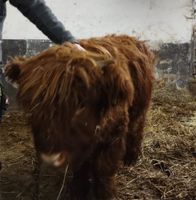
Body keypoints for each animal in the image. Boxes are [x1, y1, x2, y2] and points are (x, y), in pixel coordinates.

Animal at [4, 35, 155, 199]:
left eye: (81, 104)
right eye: (32, 106)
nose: (51, 158)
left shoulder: (113, 137)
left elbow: (104, 171)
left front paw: (106, 194)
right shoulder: (80, 147)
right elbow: (81, 168)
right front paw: (78, 190)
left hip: (140, 108)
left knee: (137, 128)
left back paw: (131, 157)